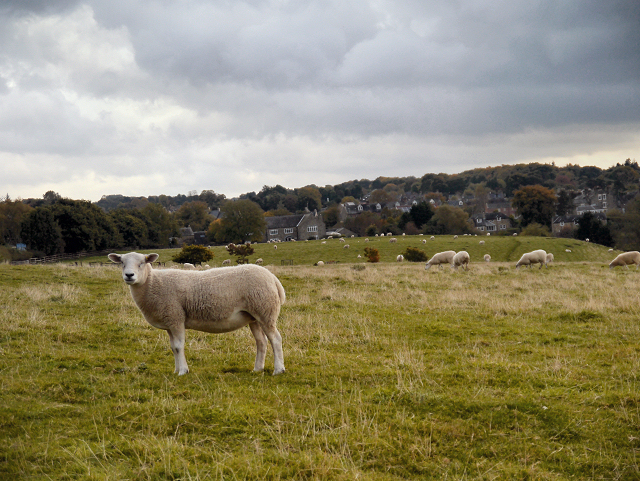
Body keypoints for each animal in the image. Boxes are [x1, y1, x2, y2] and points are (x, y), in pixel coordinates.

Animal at [108, 251, 284, 376]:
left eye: (142, 263)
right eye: (122, 263)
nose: (129, 275)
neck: (153, 283)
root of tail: (272, 278)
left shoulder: (176, 317)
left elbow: (178, 346)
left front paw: (182, 371)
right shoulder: (169, 321)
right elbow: (173, 347)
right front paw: (176, 370)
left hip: (265, 310)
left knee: (275, 339)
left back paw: (278, 370)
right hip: (254, 317)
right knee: (261, 342)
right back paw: (257, 369)